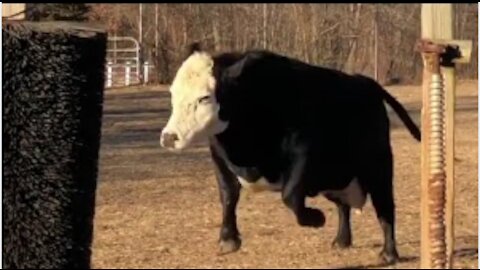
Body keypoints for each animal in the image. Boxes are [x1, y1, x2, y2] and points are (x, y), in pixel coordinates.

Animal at [160, 43, 420, 264]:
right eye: (172, 93)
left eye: (205, 97)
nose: (169, 137)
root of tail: (366, 83)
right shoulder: (219, 158)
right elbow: (228, 195)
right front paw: (228, 239)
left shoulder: (302, 155)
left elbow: (290, 195)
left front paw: (316, 218)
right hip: (335, 178)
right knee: (343, 206)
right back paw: (341, 240)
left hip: (378, 168)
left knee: (385, 209)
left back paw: (389, 253)